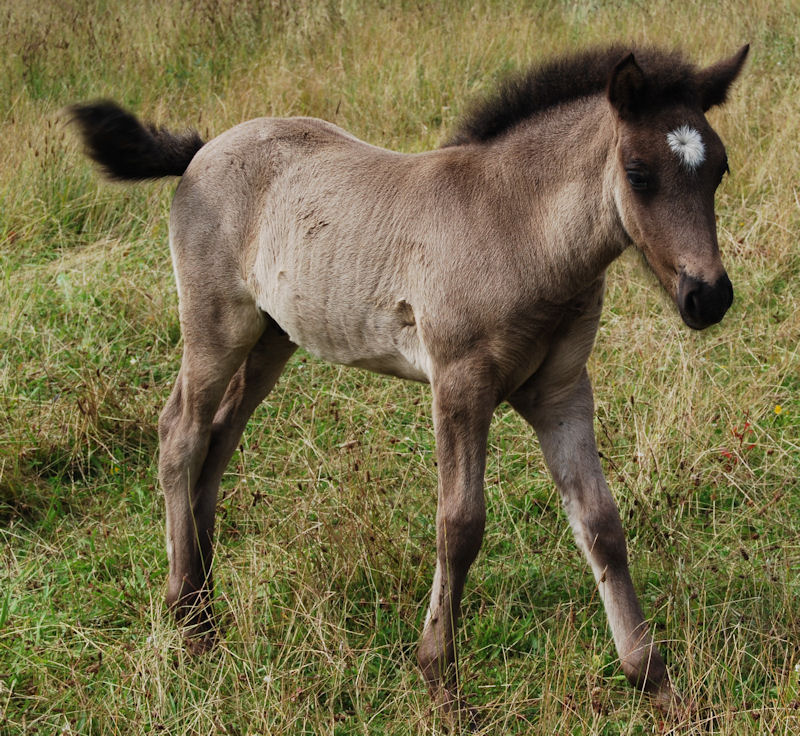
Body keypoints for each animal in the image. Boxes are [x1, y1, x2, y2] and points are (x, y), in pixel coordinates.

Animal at [70, 43, 752, 720]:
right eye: (638, 172)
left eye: (719, 169)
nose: (709, 296)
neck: (517, 229)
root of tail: (203, 148)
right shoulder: (459, 383)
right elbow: (461, 526)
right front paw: (440, 679)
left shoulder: (561, 393)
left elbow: (602, 526)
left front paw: (655, 682)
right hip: (217, 327)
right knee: (180, 433)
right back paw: (188, 618)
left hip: (272, 338)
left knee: (218, 438)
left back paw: (206, 600)